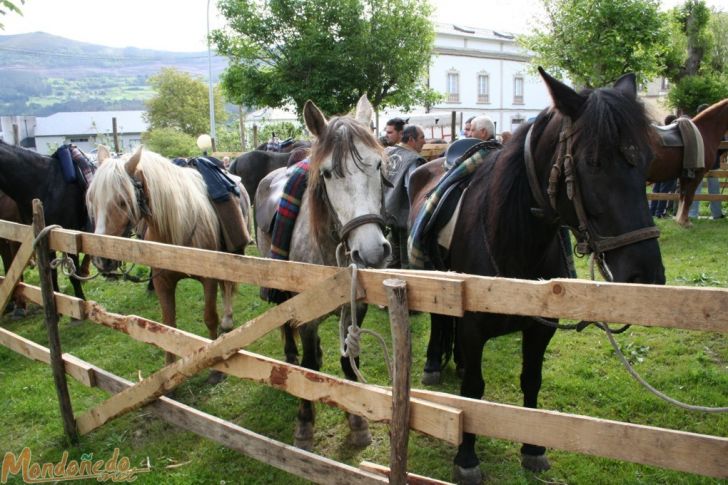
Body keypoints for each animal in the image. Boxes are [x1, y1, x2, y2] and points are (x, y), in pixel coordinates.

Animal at [256, 94, 392, 450]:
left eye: (378, 165)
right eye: (328, 174)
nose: (372, 251)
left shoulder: (355, 309)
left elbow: (348, 361)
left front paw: (357, 423)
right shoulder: (306, 312)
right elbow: (309, 366)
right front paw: (305, 424)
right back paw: (290, 353)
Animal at [410, 67, 664, 480]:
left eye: (647, 160)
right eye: (593, 161)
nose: (647, 276)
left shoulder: (540, 329)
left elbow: (531, 380)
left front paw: (532, 448)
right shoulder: (474, 328)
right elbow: (474, 389)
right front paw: (467, 458)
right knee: (439, 320)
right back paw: (434, 363)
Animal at [648, 99, 728, 227]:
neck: (703, 132)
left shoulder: (684, 174)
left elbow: (682, 195)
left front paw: (679, 220)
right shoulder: (698, 174)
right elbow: (690, 197)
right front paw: (685, 221)